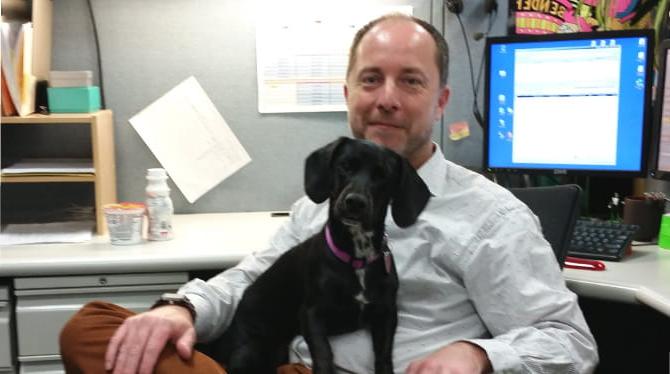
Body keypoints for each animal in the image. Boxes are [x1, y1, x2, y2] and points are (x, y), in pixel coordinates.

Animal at [210, 137, 430, 374]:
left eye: (382, 175)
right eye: (345, 166)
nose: (355, 202)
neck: (357, 258)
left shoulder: (386, 313)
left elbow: (383, 356)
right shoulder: (311, 313)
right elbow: (324, 353)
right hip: (248, 351)